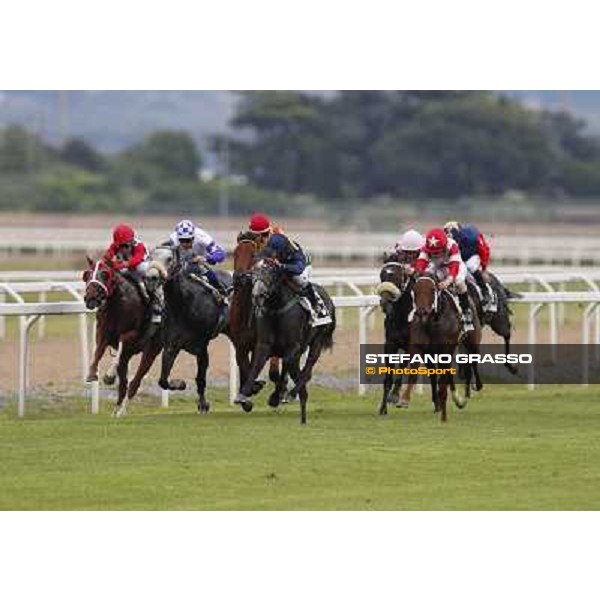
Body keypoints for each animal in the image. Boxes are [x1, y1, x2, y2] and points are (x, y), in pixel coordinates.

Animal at [82, 256, 162, 418]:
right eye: (86, 275)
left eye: (105, 274)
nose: (90, 298)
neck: (118, 304)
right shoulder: (102, 332)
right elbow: (98, 351)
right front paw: (92, 373)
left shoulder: (133, 334)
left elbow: (121, 343)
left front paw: (109, 375)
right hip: (130, 355)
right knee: (124, 383)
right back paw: (116, 410)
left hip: (151, 350)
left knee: (134, 382)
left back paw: (122, 411)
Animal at [231, 234, 284, 408]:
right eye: (235, 253)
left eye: (253, 255)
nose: (240, 277)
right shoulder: (239, 344)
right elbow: (244, 367)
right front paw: (247, 396)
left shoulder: (259, 343)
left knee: (275, 369)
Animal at [236, 260, 338, 424]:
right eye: (253, 273)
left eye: (270, 273)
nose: (257, 295)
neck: (277, 307)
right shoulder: (265, 345)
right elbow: (256, 366)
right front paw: (244, 394)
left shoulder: (293, 345)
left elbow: (290, 365)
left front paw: (289, 392)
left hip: (317, 341)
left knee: (308, 366)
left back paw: (292, 392)